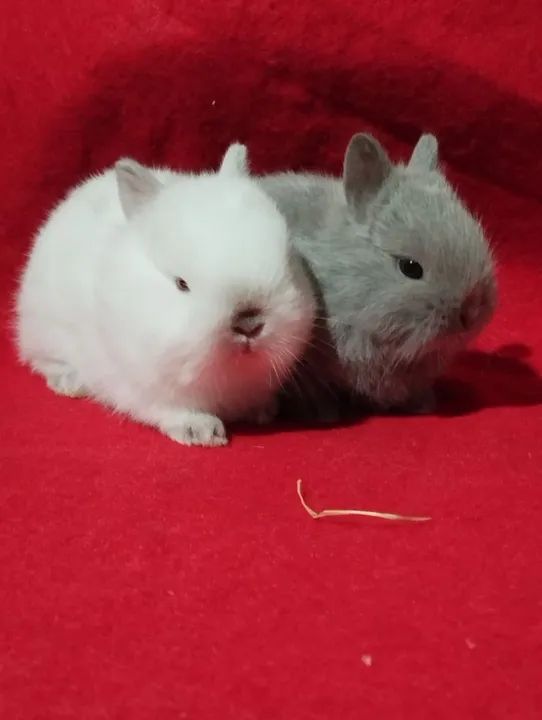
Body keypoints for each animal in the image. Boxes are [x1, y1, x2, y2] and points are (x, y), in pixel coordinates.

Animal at [15, 144, 316, 446]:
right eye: (181, 284)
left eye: (288, 262)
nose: (249, 323)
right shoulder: (139, 385)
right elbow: (169, 409)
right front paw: (202, 432)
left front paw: (263, 412)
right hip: (41, 327)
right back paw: (71, 382)